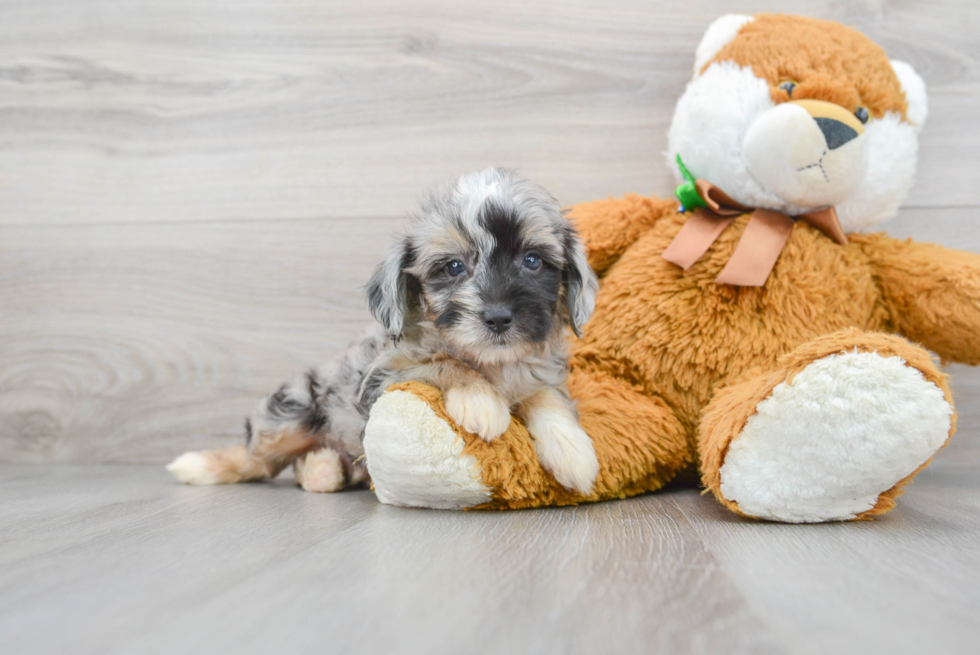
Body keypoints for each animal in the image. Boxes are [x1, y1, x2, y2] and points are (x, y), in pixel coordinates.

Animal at [167, 169, 596, 498]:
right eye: (454, 267)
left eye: (532, 261)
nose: (498, 317)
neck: (490, 362)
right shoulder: (380, 376)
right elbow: (440, 361)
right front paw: (480, 400)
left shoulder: (537, 371)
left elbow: (546, 396)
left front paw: (573, 449)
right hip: (294, 409)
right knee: (257, 459)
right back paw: (200, 465)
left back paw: (322, 468)